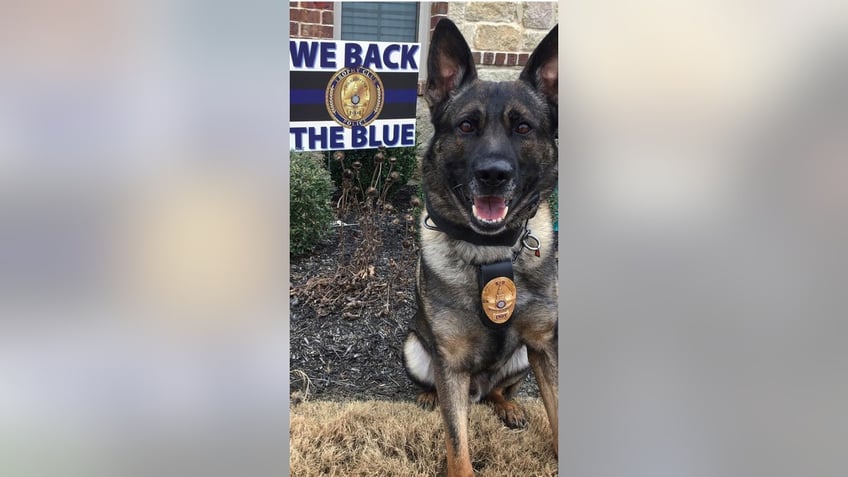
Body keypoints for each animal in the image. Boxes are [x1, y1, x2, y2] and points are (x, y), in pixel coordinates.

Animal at [402, 19, 560, 476]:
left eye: (523, 127)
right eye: (466, 126)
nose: (493, 174)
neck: (492, 253)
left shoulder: (544, 344)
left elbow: (558, 412)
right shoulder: (450, 361)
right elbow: (457, 444)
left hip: (521, 358)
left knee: (496, 391)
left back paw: (508, 406)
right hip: (416, 350)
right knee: (448, 392)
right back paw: (429, 397)